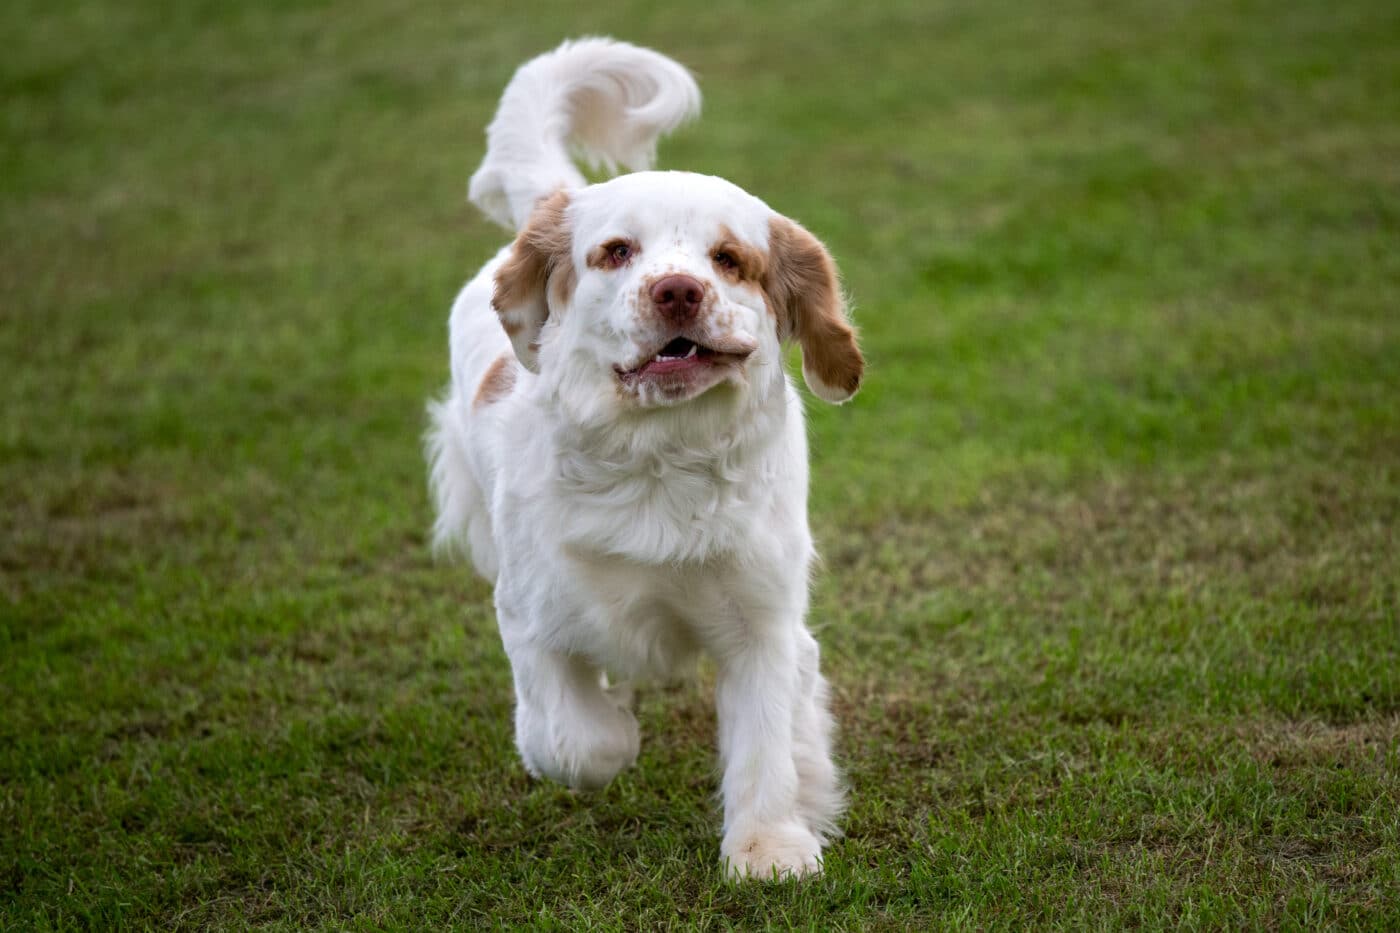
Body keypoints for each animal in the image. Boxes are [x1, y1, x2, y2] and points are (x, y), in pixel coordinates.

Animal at [425, 38, 862, 879]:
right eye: (616, 252)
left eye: (729, 259)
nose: (678, 291)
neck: (659, 456)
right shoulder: (530, 614)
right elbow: (576, 740)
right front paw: (614, 730)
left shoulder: (761, 617)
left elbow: (767, 738)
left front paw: (770, 847)